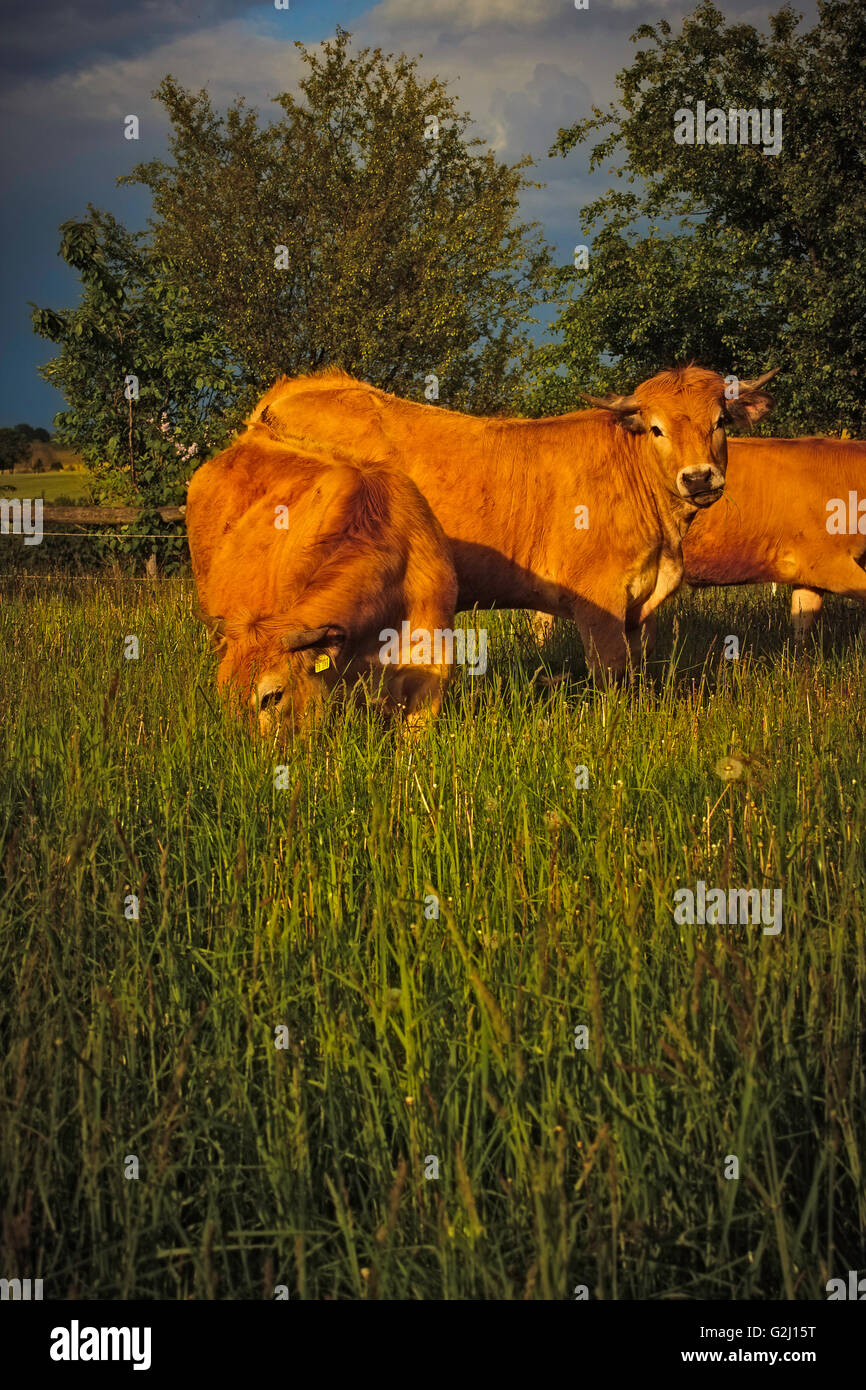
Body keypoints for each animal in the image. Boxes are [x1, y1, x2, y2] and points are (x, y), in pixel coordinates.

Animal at [246, 364, 778, 678]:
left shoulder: (639, 607)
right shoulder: (600, 599)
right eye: (656, 428)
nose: (698, 477)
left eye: (721, 422)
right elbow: (613, 675)